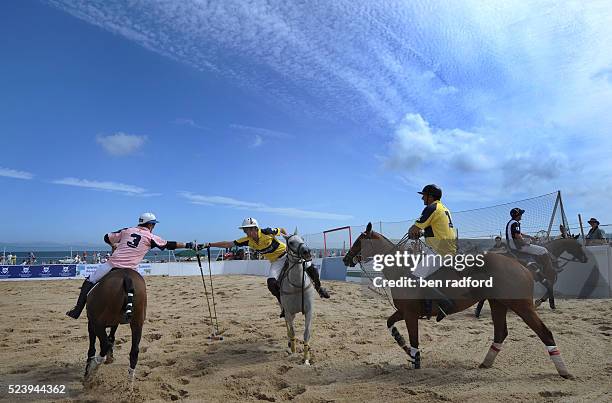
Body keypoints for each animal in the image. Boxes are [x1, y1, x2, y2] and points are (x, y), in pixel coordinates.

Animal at [278, 230, 316, 366]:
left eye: (303, 239)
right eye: (290, 242)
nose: (307, 252)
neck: (297, 285)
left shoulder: (309, 311)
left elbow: (306, 334)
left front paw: (306, 359)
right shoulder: (288, 312)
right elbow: (293, 331)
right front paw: (294, 351)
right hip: (285, 310)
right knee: (287, 326)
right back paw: (290, 342)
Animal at [344, 224, 572, 378]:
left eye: (358, 241)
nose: (346, 259)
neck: (402, 269)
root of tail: (522, 266)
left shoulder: (410, 314)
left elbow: (414, 339)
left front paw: (415, 359)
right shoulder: (403, 312)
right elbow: (390, 324)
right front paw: (406, 348)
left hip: (521, 306)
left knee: (544, 332)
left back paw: (563, 370)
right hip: (498, 303)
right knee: (500, 333)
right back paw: (485, 363)